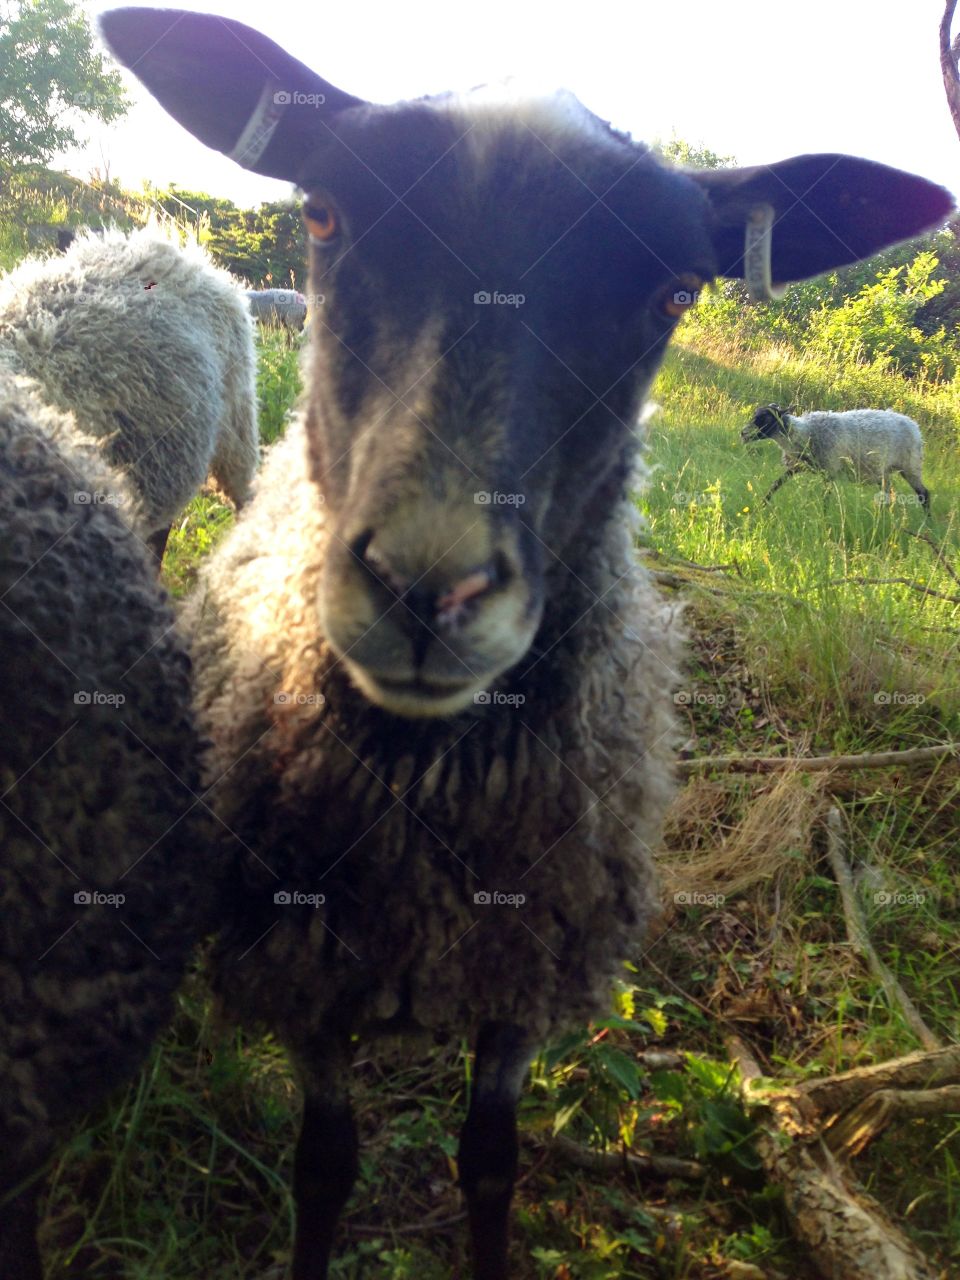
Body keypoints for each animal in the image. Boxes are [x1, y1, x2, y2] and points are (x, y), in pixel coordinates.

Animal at [742, 403, 930, 509]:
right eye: (755, 414)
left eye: (766, 418)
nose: (743, 433)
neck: (805, 432)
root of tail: (915, 426)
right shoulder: (796, 467)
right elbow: (775, 485)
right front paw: (761, 505)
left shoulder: (830, 470)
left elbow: (826, 497)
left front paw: (824, 520)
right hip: (885, 471)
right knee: (889, 492)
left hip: (911, 465)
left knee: (924, 494)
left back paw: (927, 524)